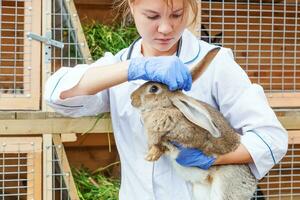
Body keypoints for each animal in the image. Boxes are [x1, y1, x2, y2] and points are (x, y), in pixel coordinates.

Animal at [130, 47, 256, 199]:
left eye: (153, 89)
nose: (132, 98)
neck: (166, 108)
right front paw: (151, 155)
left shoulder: (187, 135)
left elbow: (165, 142)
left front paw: (151, 156)